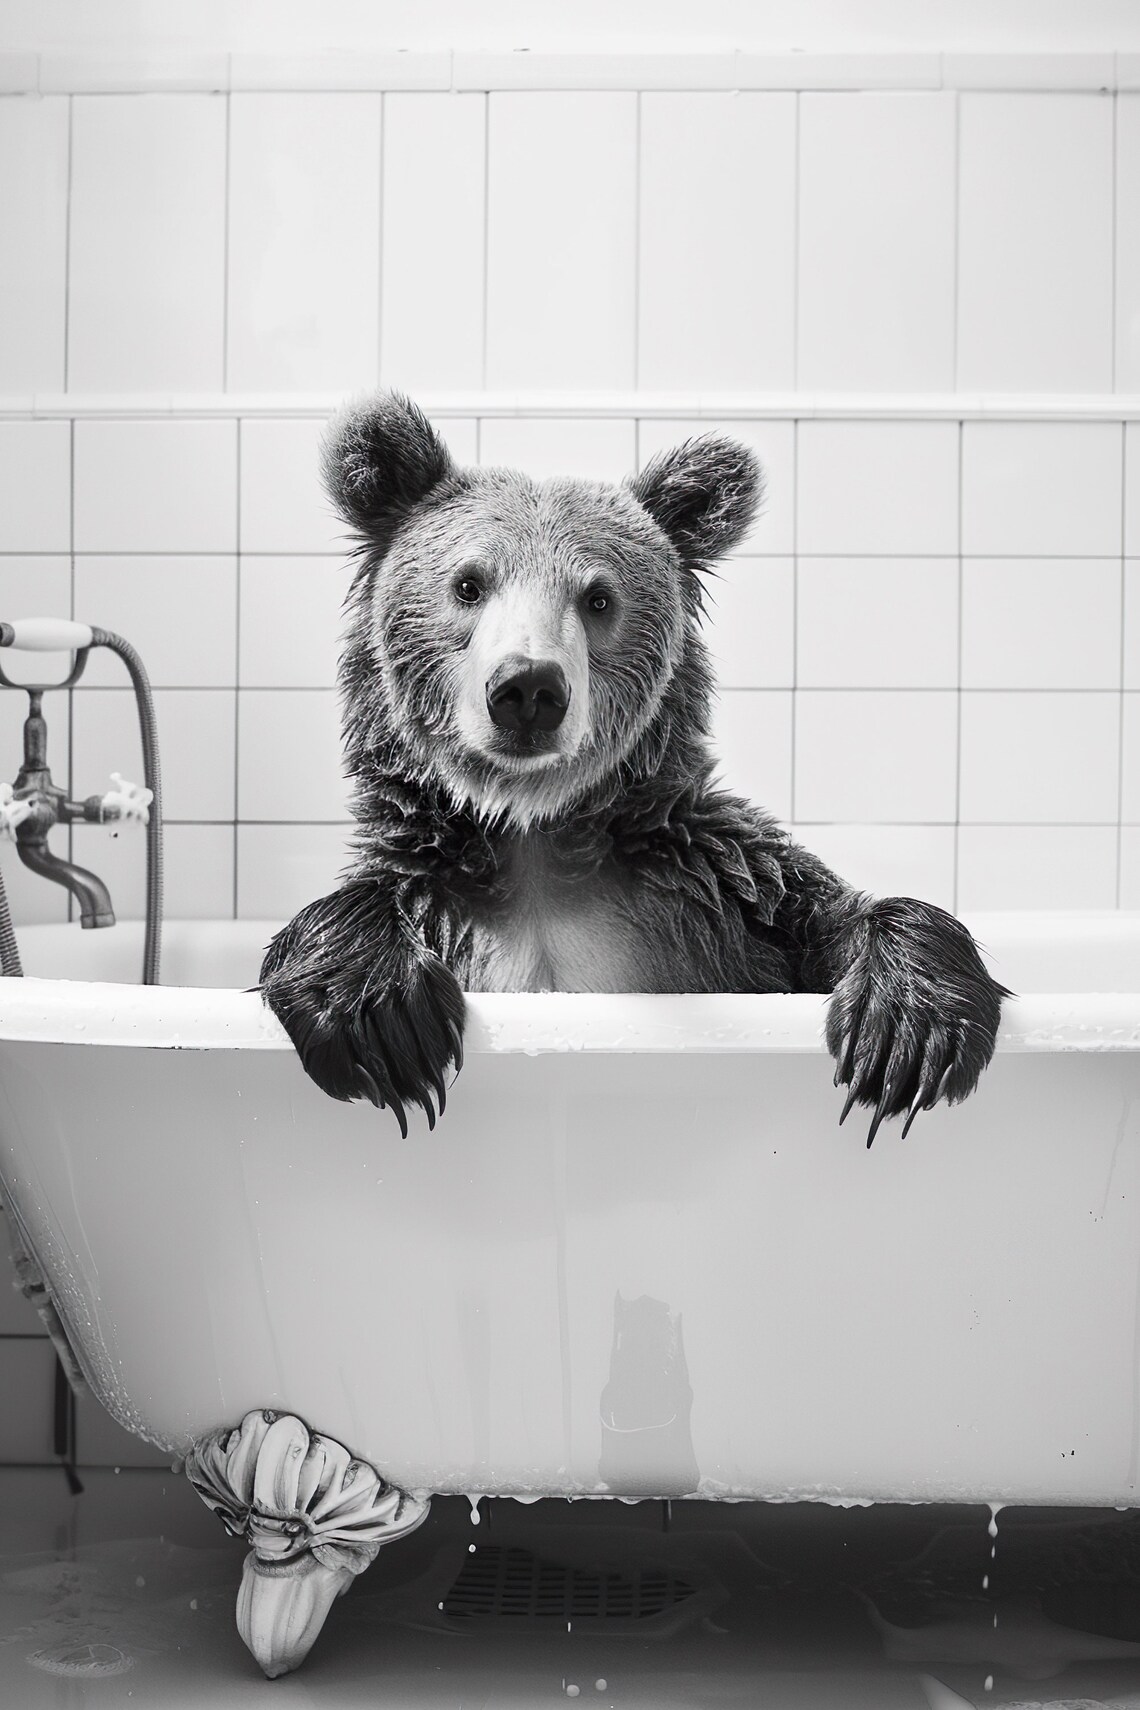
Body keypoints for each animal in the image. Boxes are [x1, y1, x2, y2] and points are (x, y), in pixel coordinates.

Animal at [260, 391, 1009, 1146]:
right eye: (468, 584)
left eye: (598, 597)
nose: (527, 688)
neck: (532, 834)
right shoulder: (437, 894)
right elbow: (359, 910)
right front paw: (381, 1019)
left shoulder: (716, 892)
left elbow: (828, 914)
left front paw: (909, 1027)